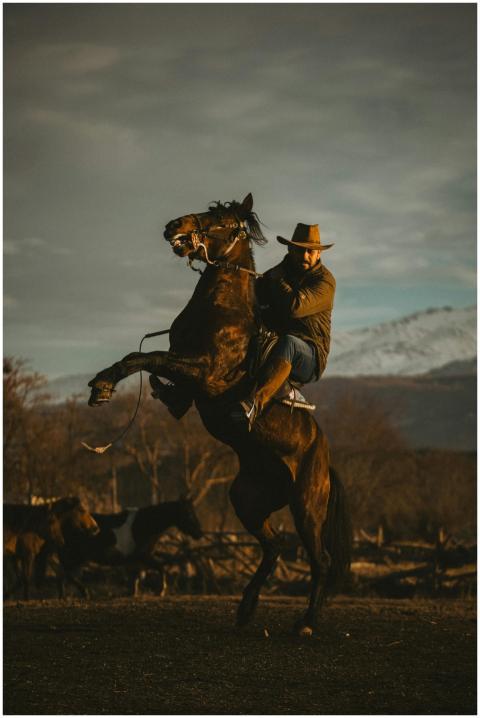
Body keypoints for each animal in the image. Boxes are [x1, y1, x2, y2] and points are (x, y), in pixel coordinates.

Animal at [49, 497, 203, 598]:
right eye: (188, 514)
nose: (199, 534)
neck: (144, 524)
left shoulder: (136, 561)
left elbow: (136, 577)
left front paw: (133, 594)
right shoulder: (143, 556)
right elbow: (161, 568)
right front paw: (161, 591)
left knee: (61, 574)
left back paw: (64, 596)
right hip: (75, 557)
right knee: (65, 574)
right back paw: (84, 592)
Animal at [87, 193, 351, 635]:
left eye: (223, 219)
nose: (174, 226)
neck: (222, 308)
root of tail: (325, 457)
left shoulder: (203, 370)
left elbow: (145, 356)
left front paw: (103, 384)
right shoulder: (185, 365)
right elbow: (147, 359)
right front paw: (115, 386)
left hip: (306, 507)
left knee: (321, 560)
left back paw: (305, 624)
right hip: (247, 499)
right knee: (274, 546)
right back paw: (246, 609)